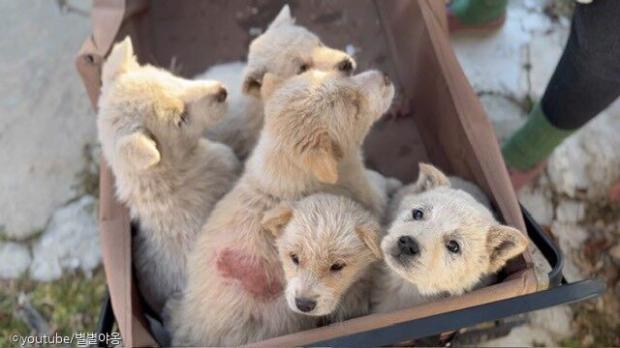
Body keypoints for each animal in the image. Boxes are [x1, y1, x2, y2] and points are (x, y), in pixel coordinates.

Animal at [170, 68, 392, 346]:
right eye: (355, 105)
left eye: (341, 74)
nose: (385, 76)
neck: (282, 174)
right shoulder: (365, 192)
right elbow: (380, 188)